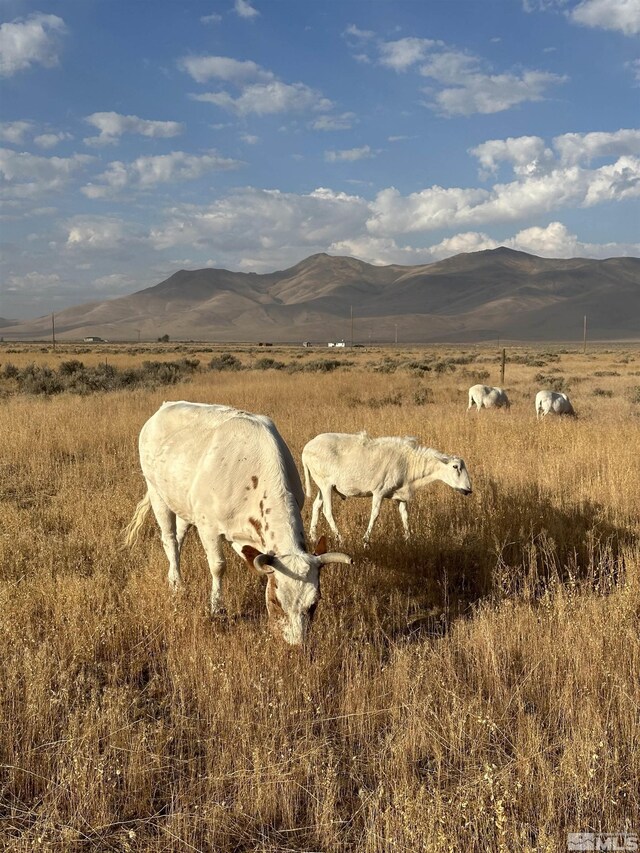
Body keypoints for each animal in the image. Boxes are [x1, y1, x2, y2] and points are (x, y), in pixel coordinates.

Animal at [122, 402, 352, 644]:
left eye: (314, 603)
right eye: (276, 601)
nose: (296, 644)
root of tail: (164, 407)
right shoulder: (208, 527)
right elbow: (218, 566)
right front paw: (217, 608)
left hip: (183, 505)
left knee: (179, 536)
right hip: (157, 493)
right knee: (169, 540)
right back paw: (176, 583)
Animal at [302, 430, 472, 544]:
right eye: (455, 467)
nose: (469, 490)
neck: (409, 464)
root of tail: (306, 449)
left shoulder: (400, 494)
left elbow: (405, 515)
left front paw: (409, 539)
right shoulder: (379, 491)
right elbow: (375, 515)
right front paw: (365, 540)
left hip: (322, 485)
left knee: (316, 506)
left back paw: (313, 537)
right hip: (325, 484)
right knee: (327, 511)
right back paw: (340, 538)